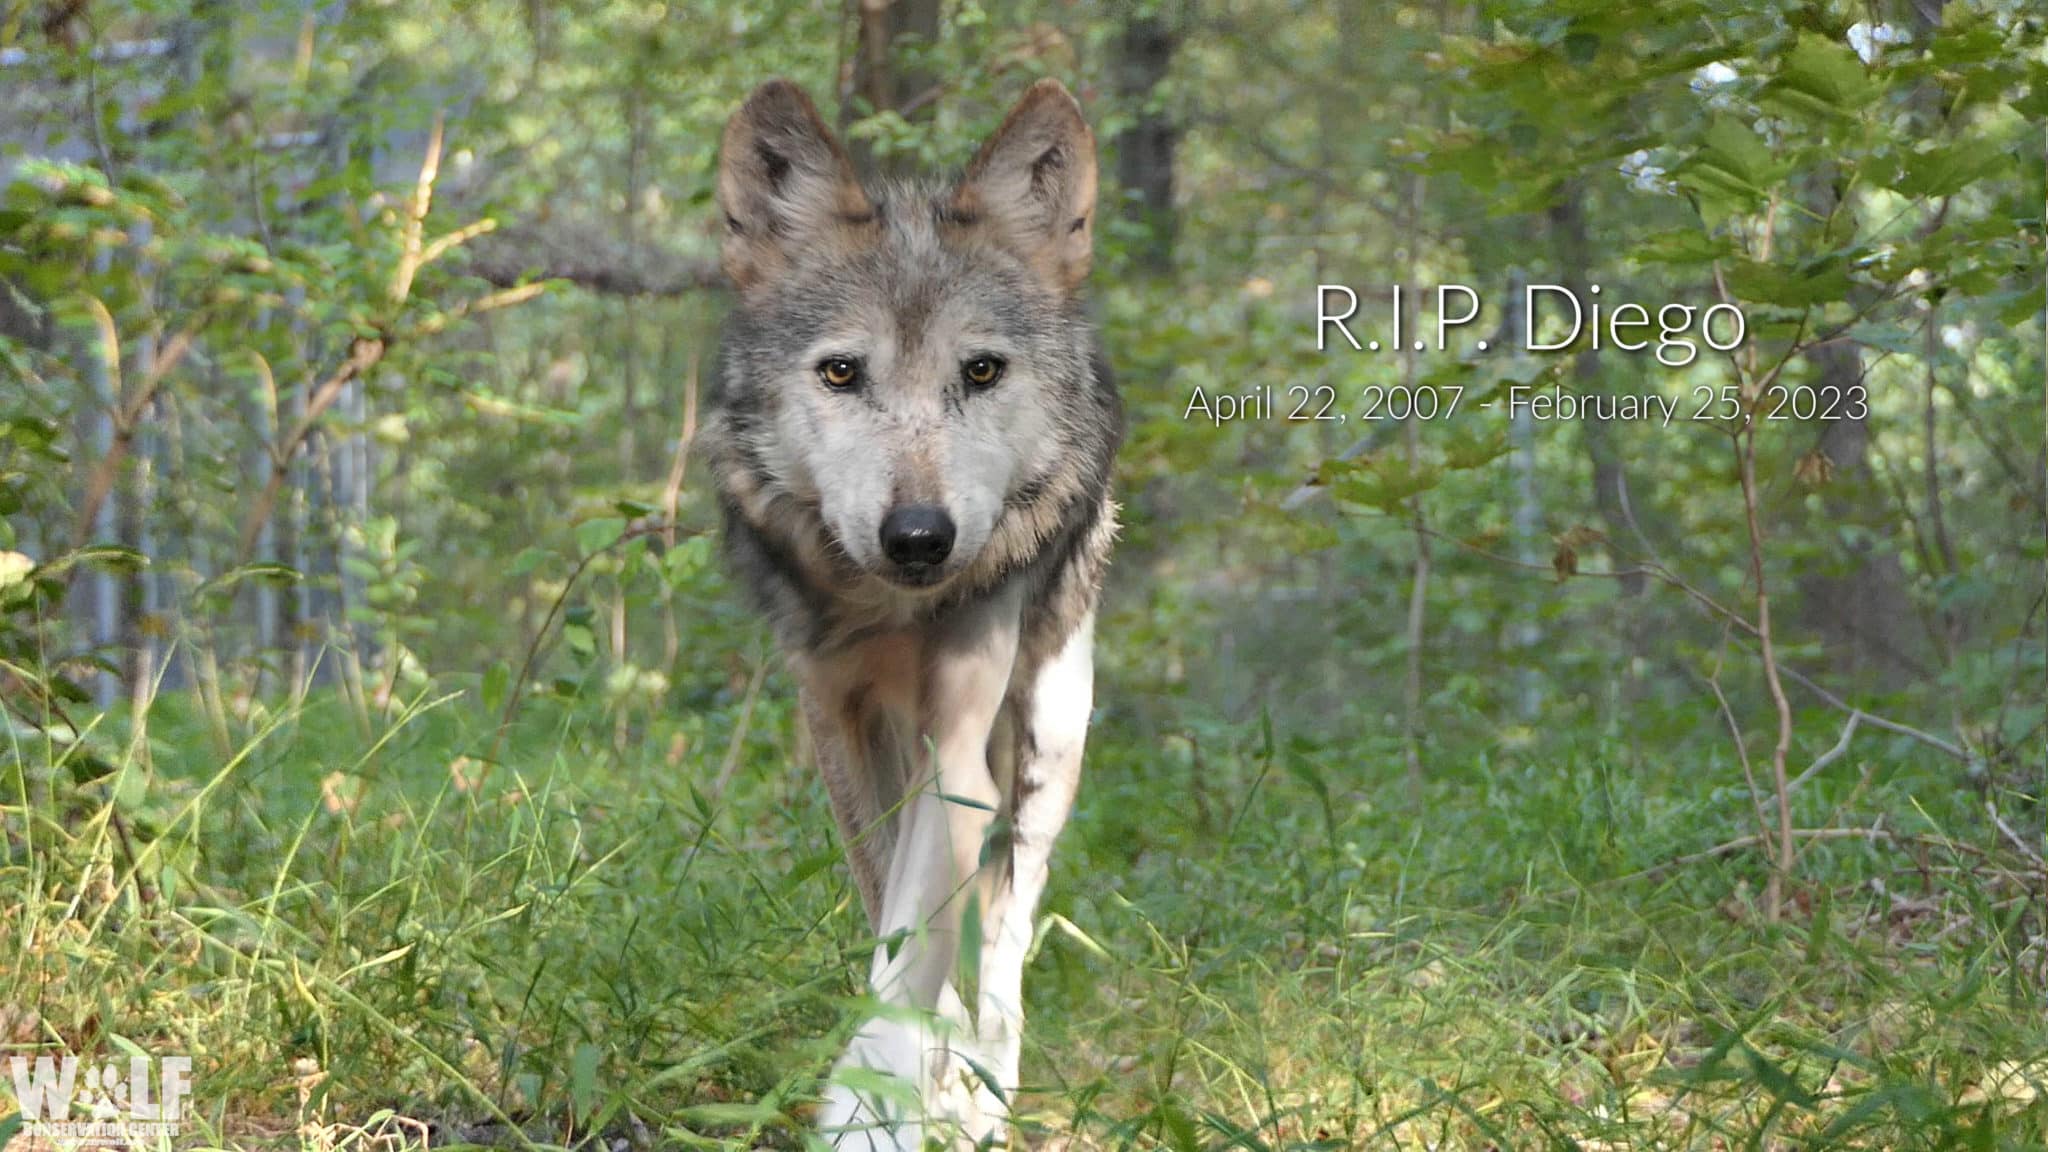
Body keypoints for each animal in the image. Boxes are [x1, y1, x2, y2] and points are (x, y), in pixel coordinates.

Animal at [704, 76, 1122, 1139]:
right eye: (840, 373)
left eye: (981, 371)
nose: (921, 537)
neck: (888, 615)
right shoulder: (838, 725)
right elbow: (891, 919)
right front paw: (899, 1095)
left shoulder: (962, 750)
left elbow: (924, 944)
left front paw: (875, 1107)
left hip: (1051, 739)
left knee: (1008, 935)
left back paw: (985, 1087)